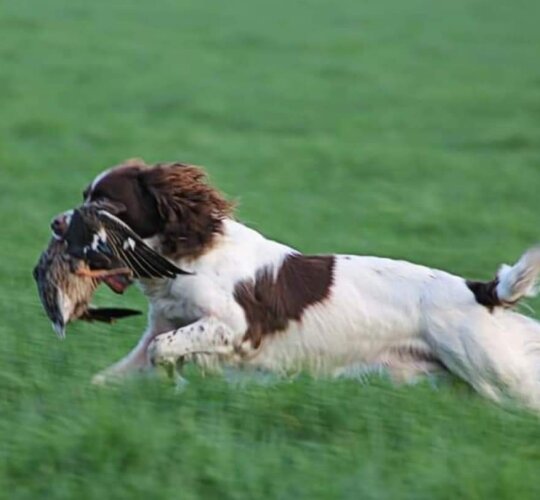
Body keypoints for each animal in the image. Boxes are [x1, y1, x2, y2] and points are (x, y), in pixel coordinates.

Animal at [56, 158, 540, 408]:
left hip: (495, 371)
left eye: (106, 202)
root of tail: (479, 290)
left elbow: (165, 351)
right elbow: (112, 374)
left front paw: (182, 378)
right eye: (84, 197)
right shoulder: (161, 328)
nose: (56, 225)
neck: (188, 254)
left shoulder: (234, 327)